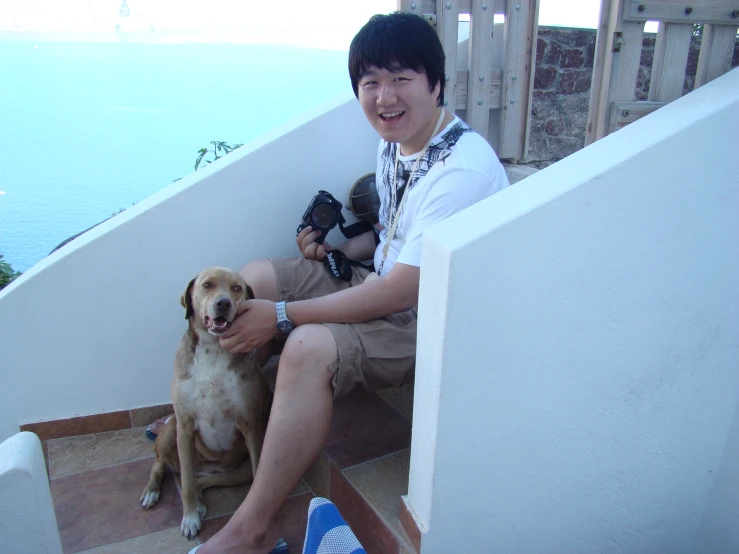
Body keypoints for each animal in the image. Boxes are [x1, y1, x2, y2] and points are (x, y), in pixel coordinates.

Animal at [140, 266, 268, 536]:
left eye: (237, 288)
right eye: (207, 285)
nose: (223, 303)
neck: (213, 350)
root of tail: (208, 466)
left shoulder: (251, 426)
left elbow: (257, 471)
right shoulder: (185, 426)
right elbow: (186, 485)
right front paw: (189, 518)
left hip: (234, 472)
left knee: (203, 480)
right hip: (172, 431)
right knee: (165, 465)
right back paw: (152, 491)